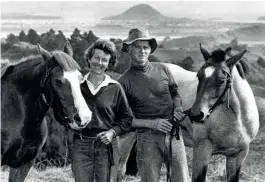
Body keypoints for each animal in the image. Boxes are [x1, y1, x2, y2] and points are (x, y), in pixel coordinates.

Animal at [116, 46, 258, 181]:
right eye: (199, 76)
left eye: (222, 80)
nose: (196, 114)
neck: (236, 121)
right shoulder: (202, 152)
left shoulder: (237, 157)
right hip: (127, 138)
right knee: (120, 169)